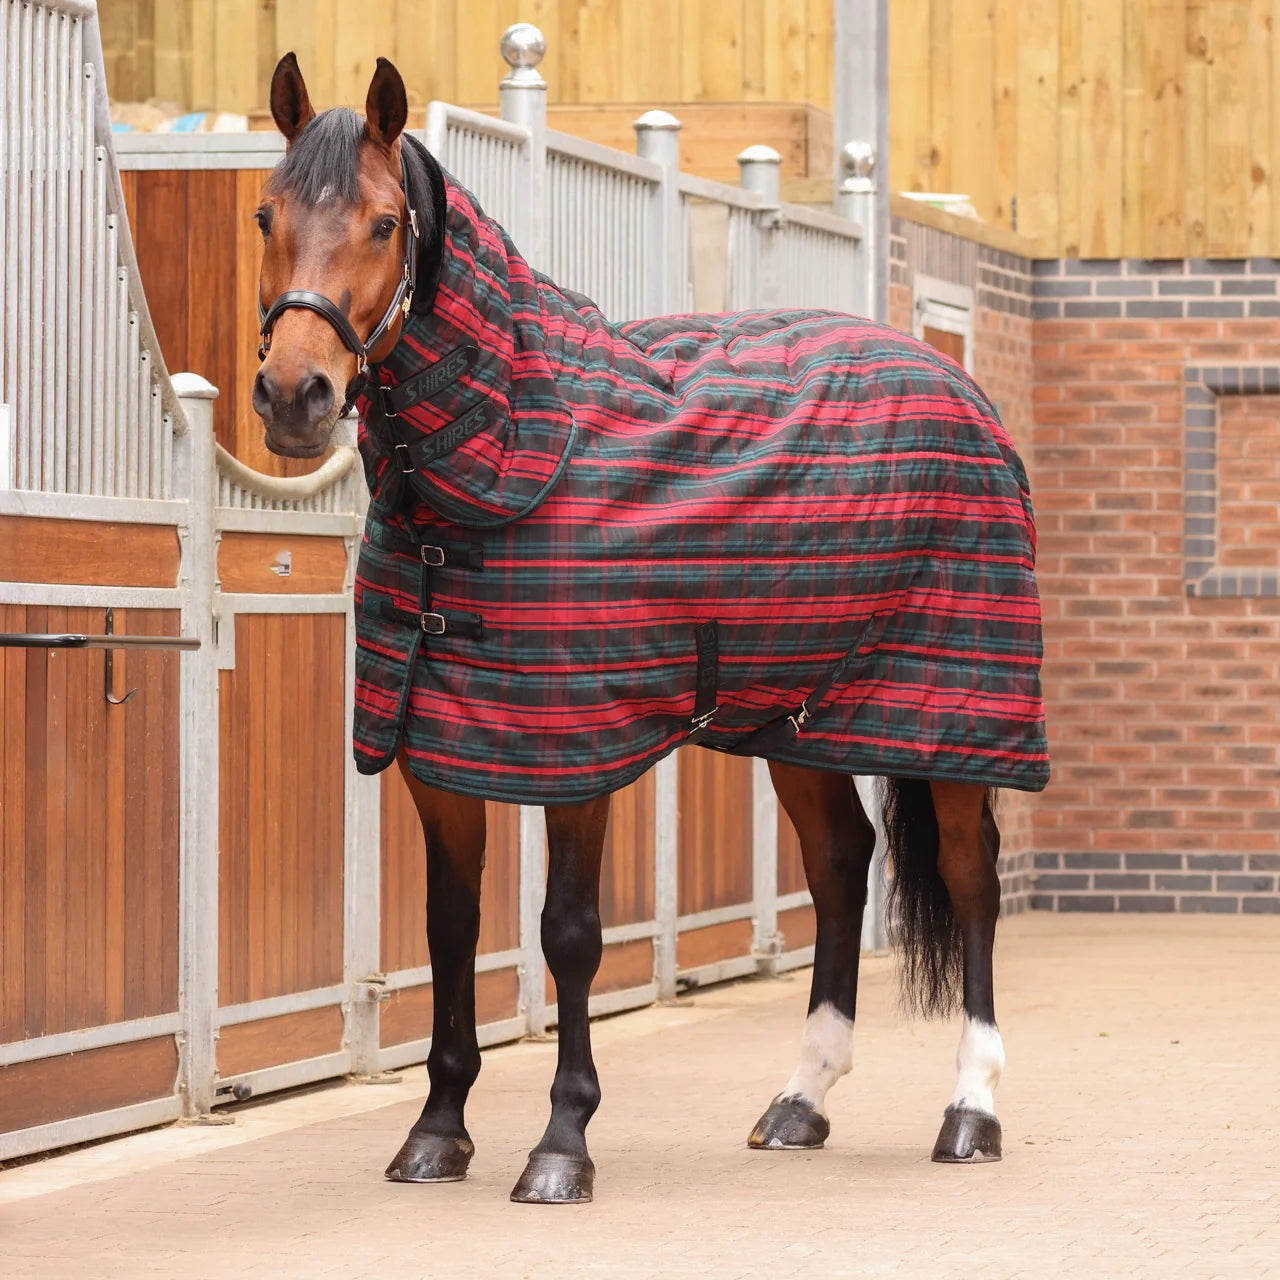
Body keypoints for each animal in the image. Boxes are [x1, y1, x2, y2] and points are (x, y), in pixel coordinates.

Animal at [251, 53, 1048, 1205]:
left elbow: (569, 935)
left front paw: (560, 1144)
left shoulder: (577, 757)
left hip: (950, 714)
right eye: (266, 212)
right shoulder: (438, 755)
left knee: (968, 876)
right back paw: (801, 1097)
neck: (509, 462)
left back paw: (970, 1109)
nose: (292, 395)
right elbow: (451, 931)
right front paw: (437, 1133)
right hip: (797, 719)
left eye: (384, 221)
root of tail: (956, 385)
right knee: (838, 862)